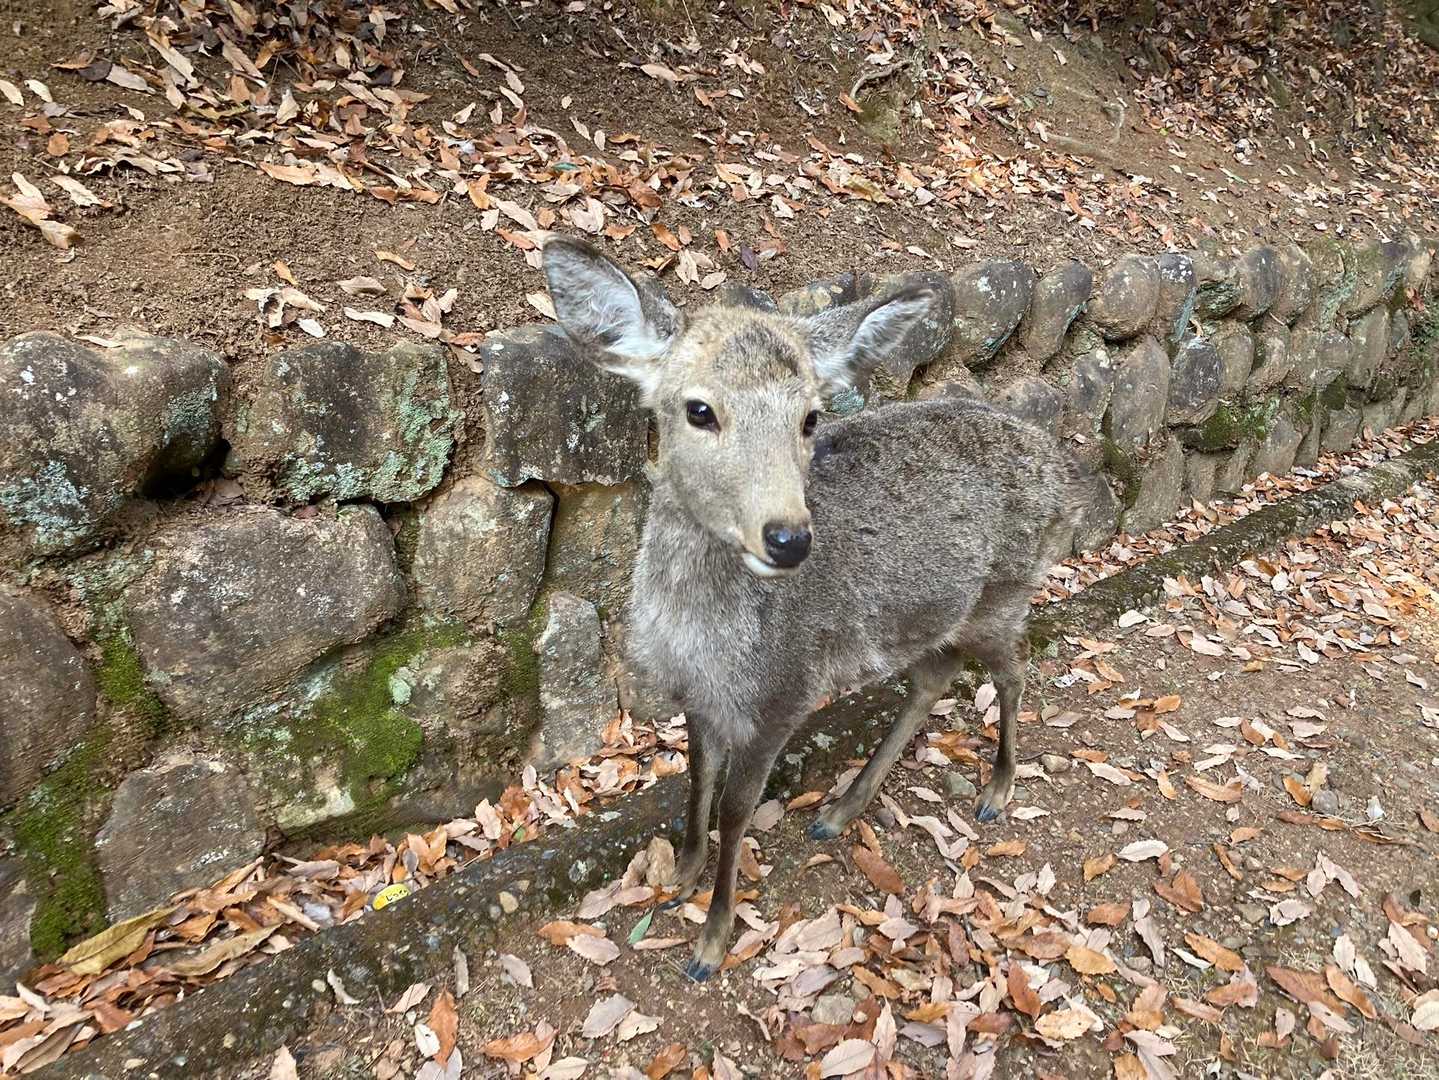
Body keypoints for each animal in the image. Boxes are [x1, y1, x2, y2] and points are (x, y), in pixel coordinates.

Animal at [541, 237, 1084, 981]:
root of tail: (1066, 477)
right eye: (699, 409)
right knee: (934, 677)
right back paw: (842, 807)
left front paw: (710, 943)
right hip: (938, 616)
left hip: (1004, 594)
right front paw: (680, 874)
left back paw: (996, 791)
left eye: (810, 417)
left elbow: (736, 809)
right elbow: (695, 780)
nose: (789, 537)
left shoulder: (784, 695)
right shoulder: (699, 699)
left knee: (1014, 667)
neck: (701, 645)